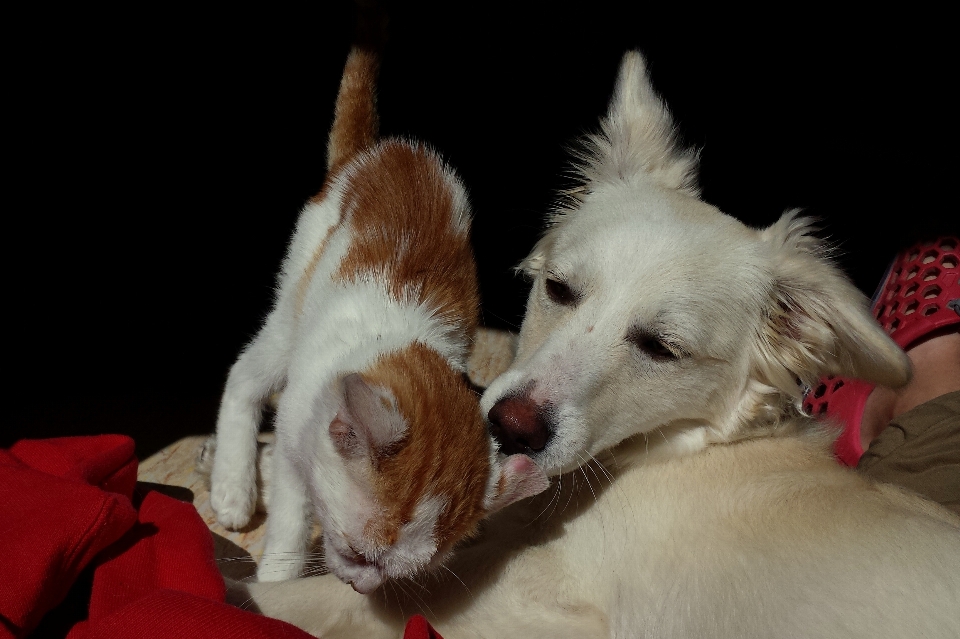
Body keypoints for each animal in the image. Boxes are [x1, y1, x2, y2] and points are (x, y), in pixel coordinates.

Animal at [208, 20, 548, 592]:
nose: (358, 586)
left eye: (404, 572)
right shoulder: (298, 437)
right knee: (244, 373)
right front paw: (277, 581)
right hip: (294, 300)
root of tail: (384, 149)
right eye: (357, 552)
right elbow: (291, 516)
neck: (394, 342)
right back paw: (232, 487)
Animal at [232, 51, 960, 639]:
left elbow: (306, 597)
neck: (676, 448)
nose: (509, 428)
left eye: (662, 347)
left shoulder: (518, 601)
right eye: (558, 287)